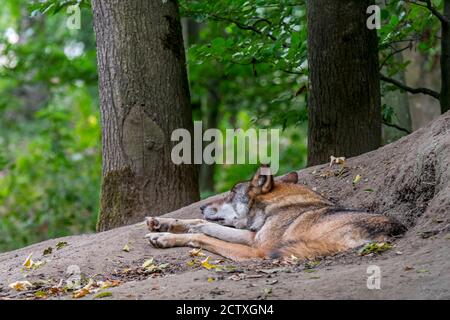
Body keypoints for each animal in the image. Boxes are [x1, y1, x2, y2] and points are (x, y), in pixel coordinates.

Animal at [144, 166, 404, 262]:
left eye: (231, 193)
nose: (201, 206)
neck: (278, 207)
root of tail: (389, 235)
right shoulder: (253, 235)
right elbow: (199, 223)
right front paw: (160, 223)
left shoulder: (256, 246)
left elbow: (203, 233)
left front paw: (164, 237)